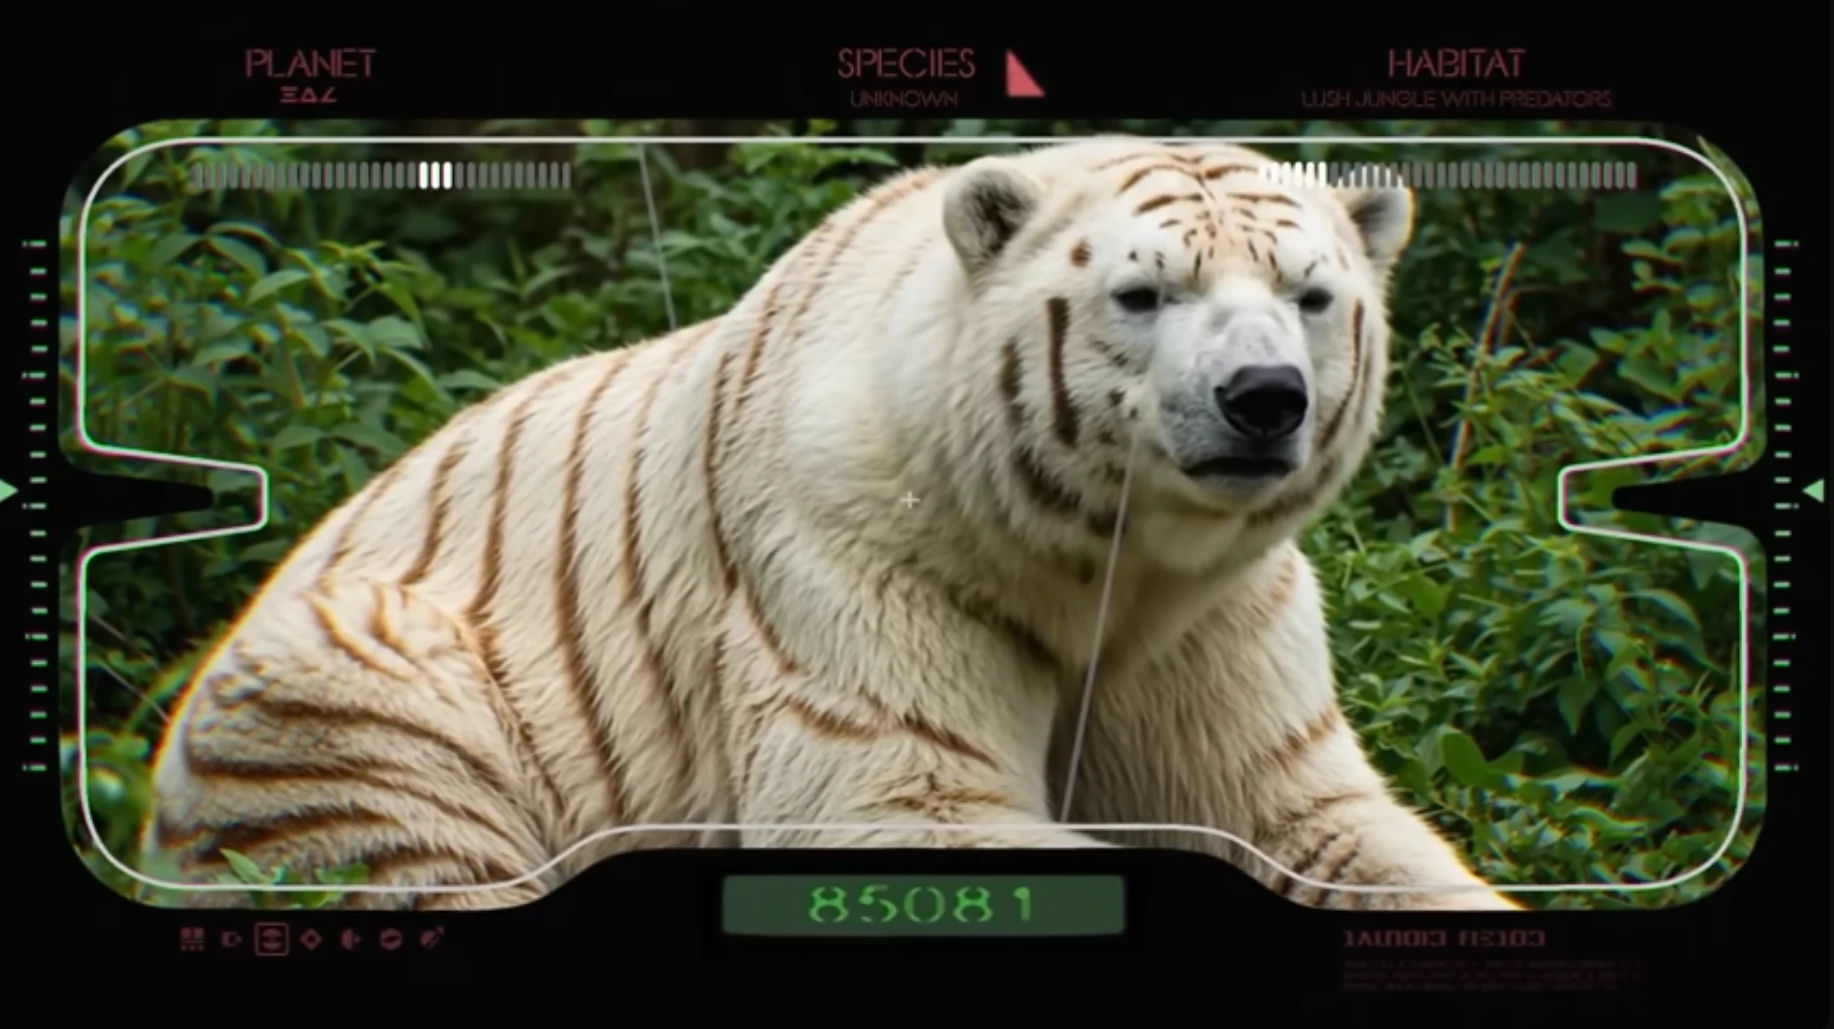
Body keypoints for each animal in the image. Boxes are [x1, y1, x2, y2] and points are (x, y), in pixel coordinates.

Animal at [137, 137, 1519, 912]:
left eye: (1312, 294)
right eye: (1143, 292)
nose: (1262, 398)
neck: (1081, 552)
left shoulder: (1212, 613)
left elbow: (1314, 819)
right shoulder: (858, 545)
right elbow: (894, 801)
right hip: (363, 680)